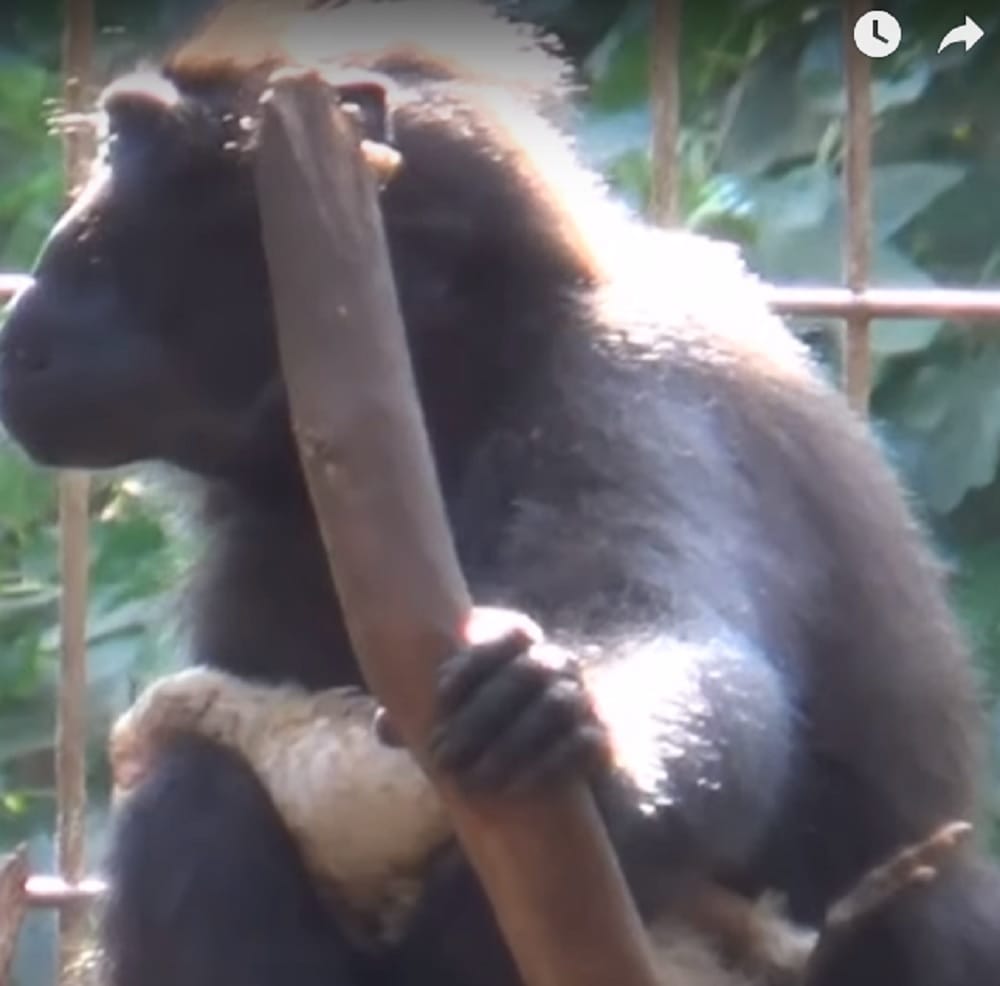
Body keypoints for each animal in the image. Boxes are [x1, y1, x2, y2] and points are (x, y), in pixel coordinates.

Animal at [1, 2, 999, 986]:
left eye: (133, 144)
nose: (30, 299)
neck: (458, 377)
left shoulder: (621, 388)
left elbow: (683, 645)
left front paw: (574, 724)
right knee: (192, 795)